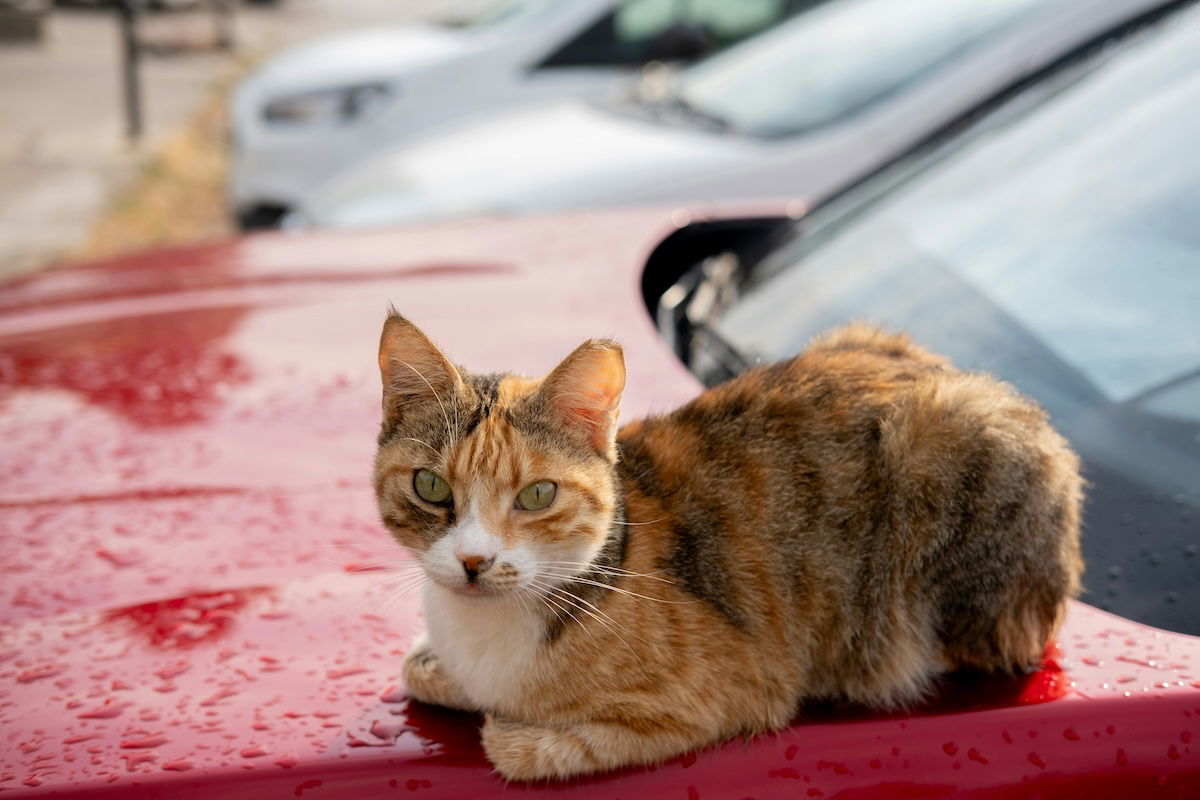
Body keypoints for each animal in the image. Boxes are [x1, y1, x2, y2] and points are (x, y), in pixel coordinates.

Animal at [369, 311, 1084, 782]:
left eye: (537, 495)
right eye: (431, 486)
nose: (474, 561)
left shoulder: (735, 691)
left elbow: (527, 748)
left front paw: (513, 729)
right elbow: (420, 668)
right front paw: (437, 664)